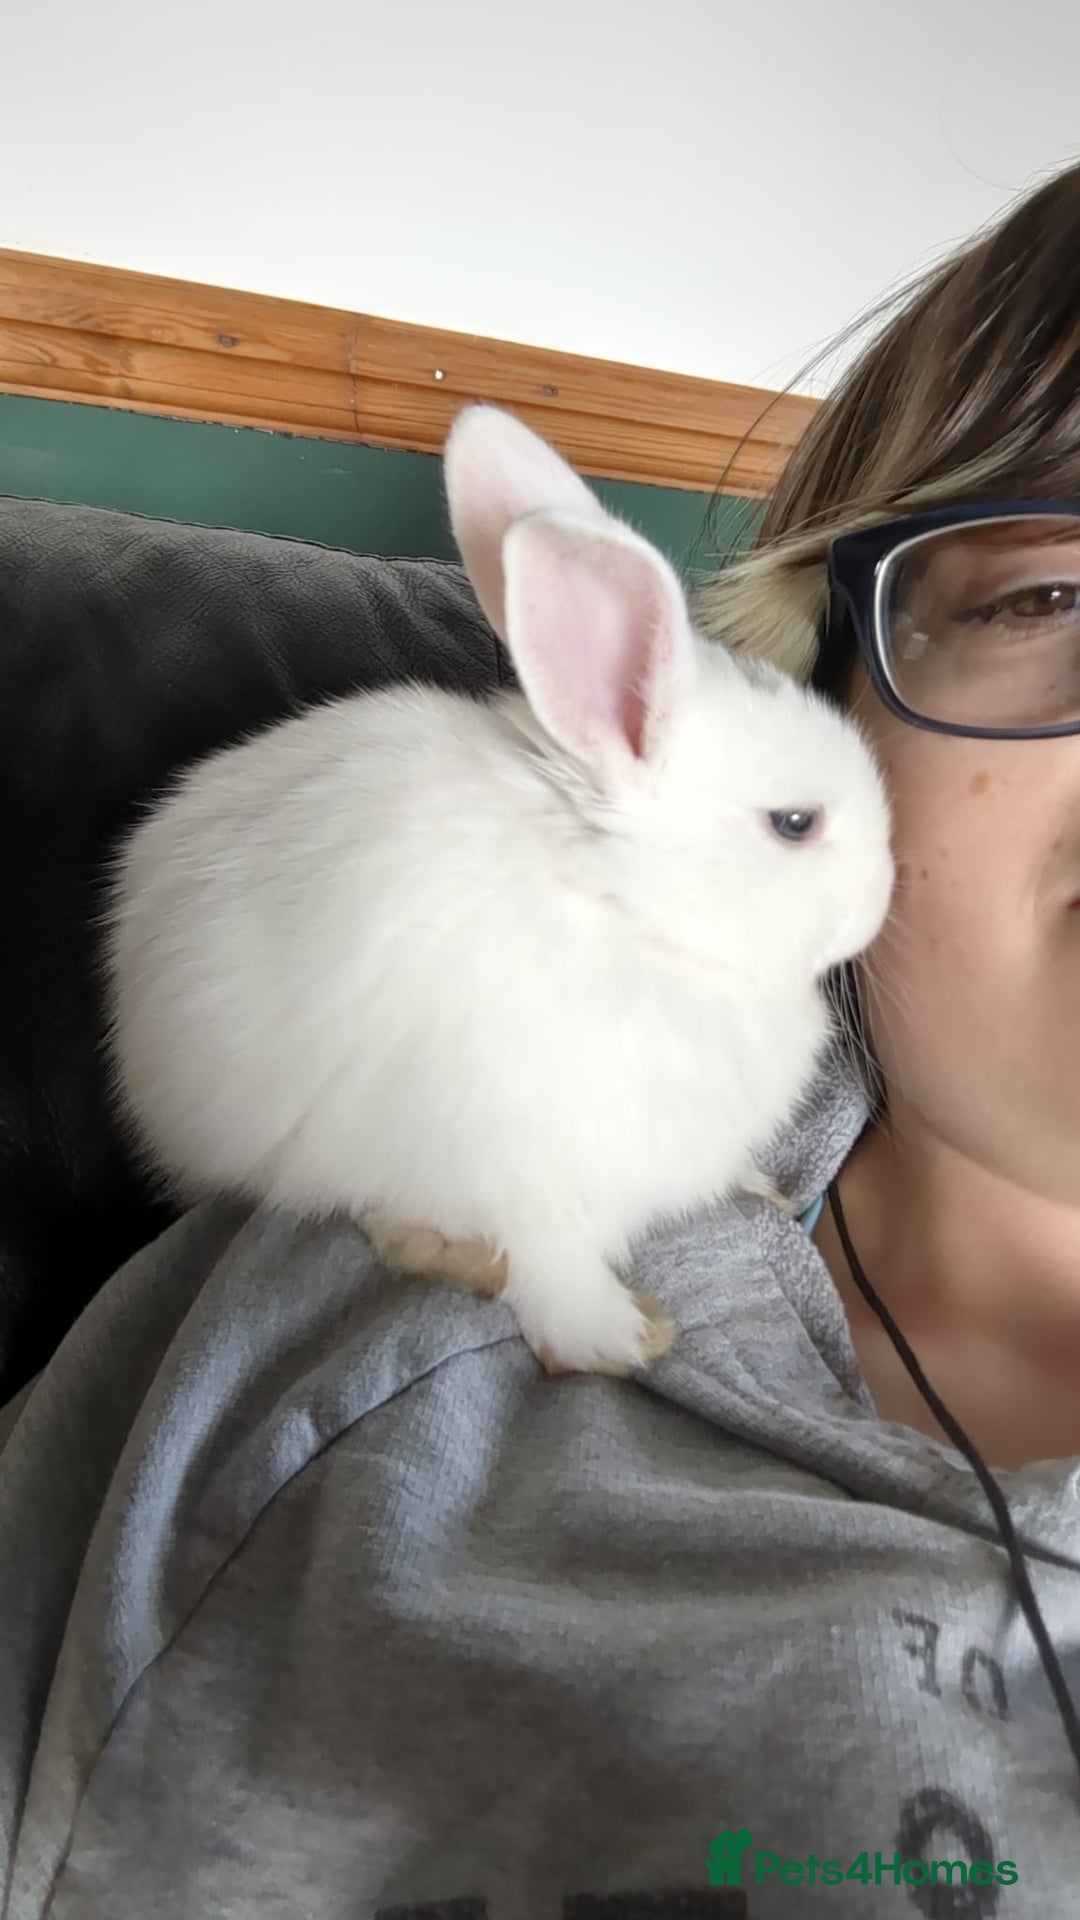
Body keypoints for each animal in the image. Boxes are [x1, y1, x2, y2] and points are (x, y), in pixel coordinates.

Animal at [103, 403, 894, 1377]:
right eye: (794, 823)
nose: (883, 893)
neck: (623, 913)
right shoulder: (524, 1171)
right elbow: (554, 1264)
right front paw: (618, 1339)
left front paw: (757, 1188)